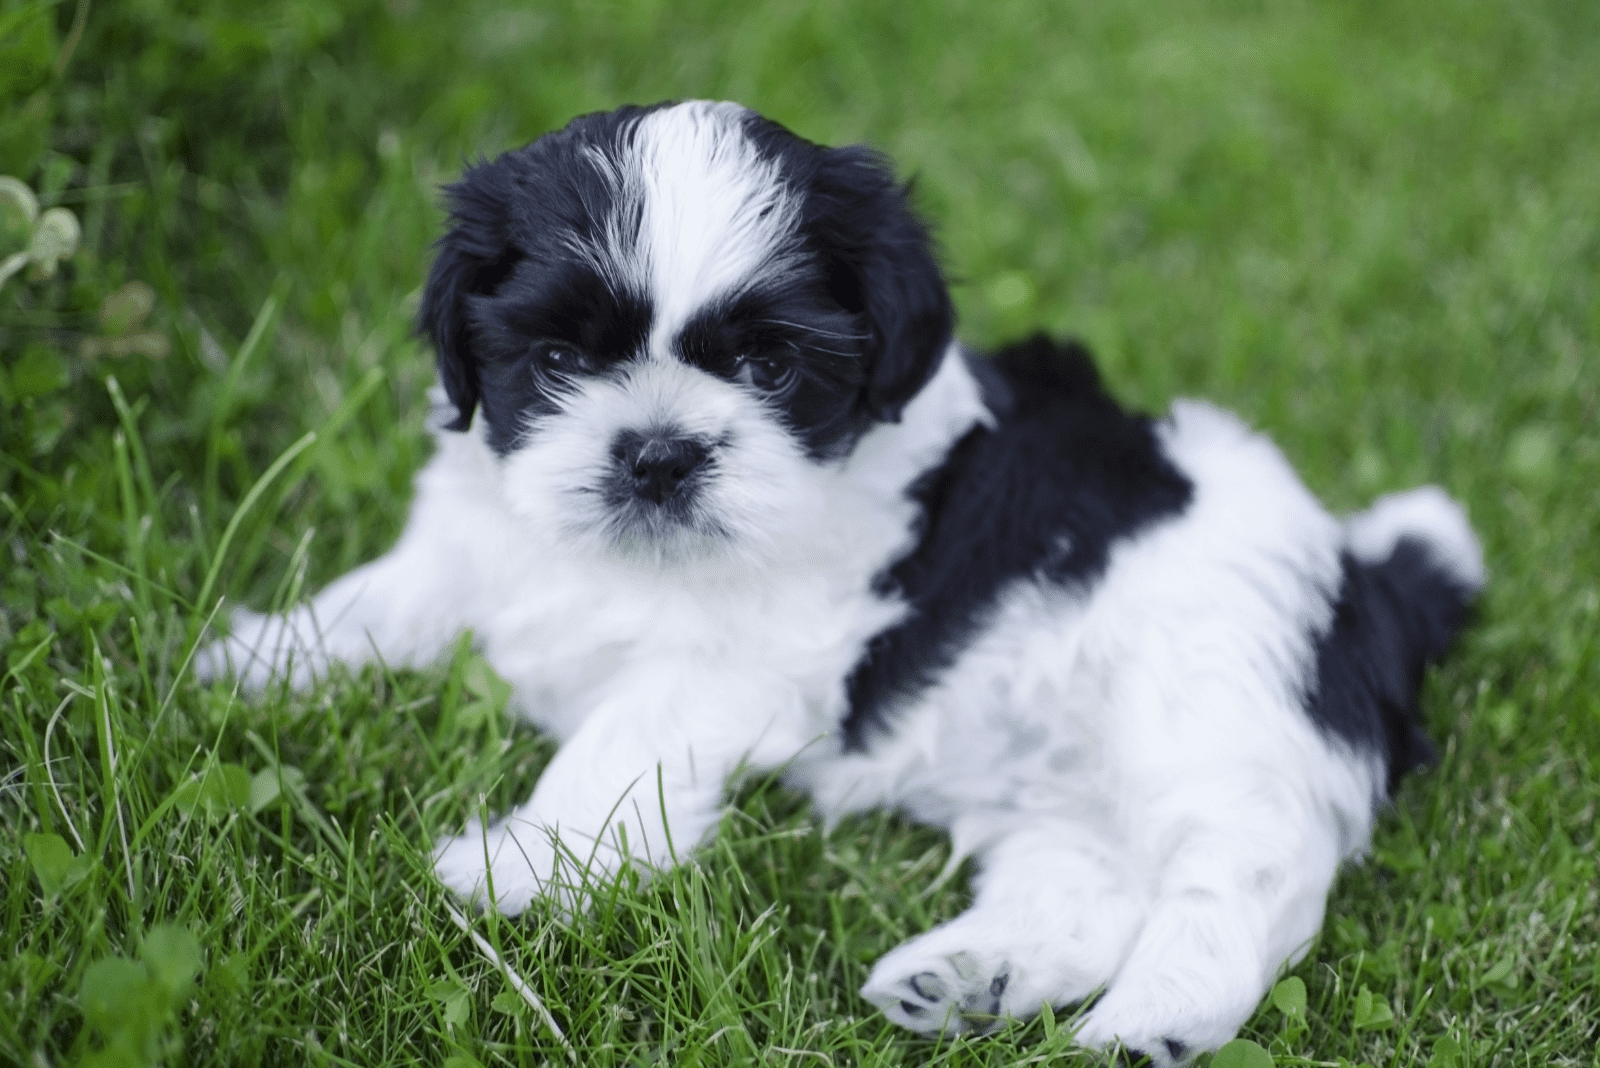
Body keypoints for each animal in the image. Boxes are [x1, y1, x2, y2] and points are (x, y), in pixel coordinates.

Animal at [200, 102, 1484, 1068]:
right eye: (556, 359)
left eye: (770, 366)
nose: (657, 453)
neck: (623, 560)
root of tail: (1365, 577)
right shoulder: (476, 546)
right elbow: (381, 601)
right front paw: (247, 665)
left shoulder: (751, 659)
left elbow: (622, 738)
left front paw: (518, 867)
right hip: (1069, 785)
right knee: (1087, 879)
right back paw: (965, 978)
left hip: (1215, 703)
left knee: (1244, 878)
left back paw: (1150, 1023)